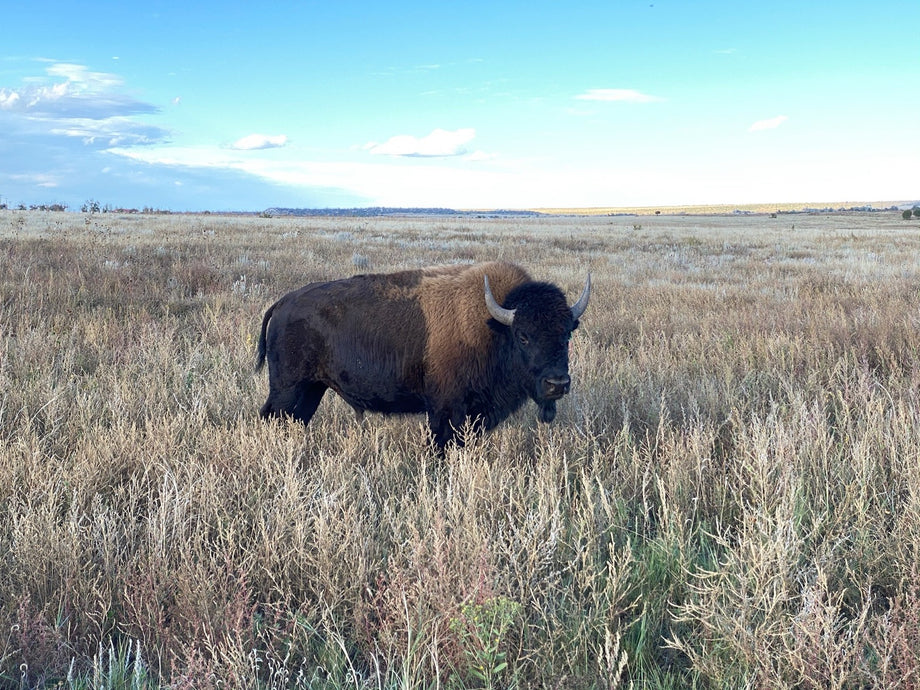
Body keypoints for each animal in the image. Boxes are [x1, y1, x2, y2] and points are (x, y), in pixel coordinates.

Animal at [255, 260, 592, 448]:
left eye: (567, 333)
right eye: (523, 336)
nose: (557, 384)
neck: (494, 327)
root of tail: (284, 302)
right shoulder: (446, 410)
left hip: (312, 389)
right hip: (288, 388)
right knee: (272, 417)